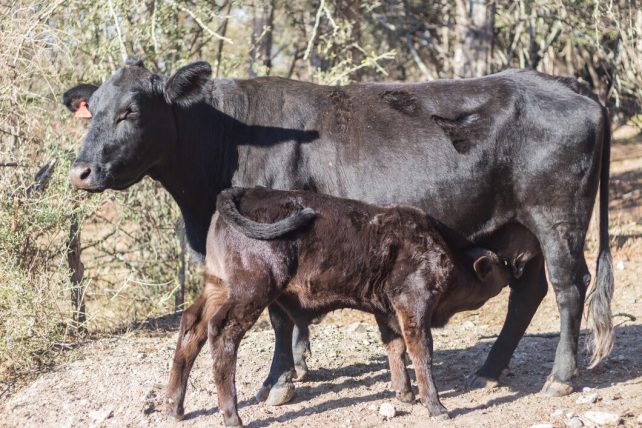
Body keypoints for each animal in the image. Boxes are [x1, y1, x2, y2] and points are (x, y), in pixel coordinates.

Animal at [175, 186, 513, 426]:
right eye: (499, 264)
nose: (515, 266)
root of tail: (245, 191)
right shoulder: (413, 306)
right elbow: (421, 352)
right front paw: (436, 406)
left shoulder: (386, 311)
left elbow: (395, 348)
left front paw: (405, 394)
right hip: (250, 293)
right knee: (221, 333)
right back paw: (232, 416)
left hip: (218, 288)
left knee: (192, 324)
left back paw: (173, 405)